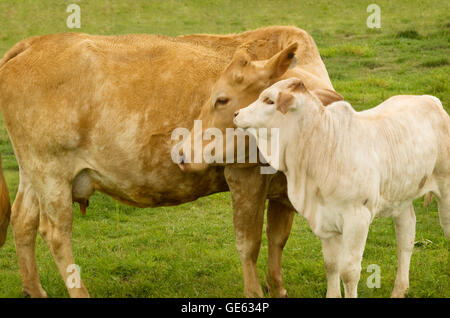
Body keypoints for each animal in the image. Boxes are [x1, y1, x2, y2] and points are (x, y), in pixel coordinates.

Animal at [0, 26, 340, 296]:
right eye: (220, 98)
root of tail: (36, 43)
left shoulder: (284, 190)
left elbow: (277, 239)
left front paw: (277, 288)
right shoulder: (244, 175)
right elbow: (249, 242)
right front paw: (255, 292)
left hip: (34, 174)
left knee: (23, 220)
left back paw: (34, 290)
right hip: (51, 172)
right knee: (56, 232)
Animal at [236, 77, 450, 298]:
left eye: (269, 101)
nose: (237, 114)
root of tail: (430, 99)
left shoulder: (357, 219)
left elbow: (349, 272)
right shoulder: (324, 219)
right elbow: (331, 265)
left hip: (445, 189)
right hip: (400, 198)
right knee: (406, 239)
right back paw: (399, 289)